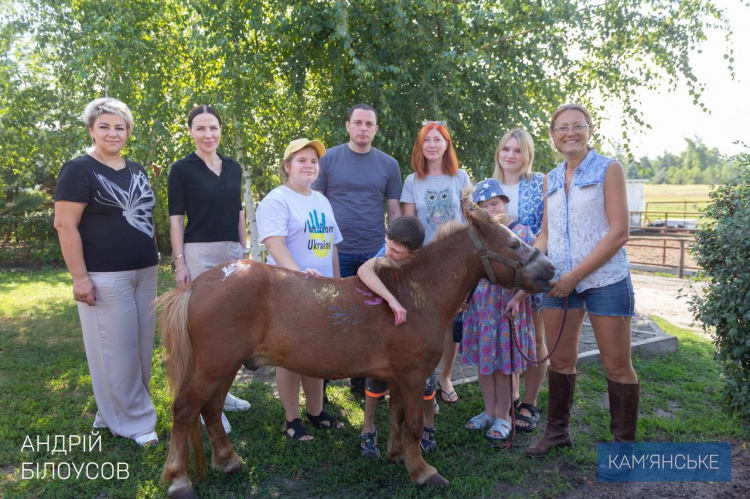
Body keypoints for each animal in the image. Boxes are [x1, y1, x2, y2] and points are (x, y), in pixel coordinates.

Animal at [160, 209, 560, 498]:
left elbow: (398, 416)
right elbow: (415, 423)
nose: (551, 269)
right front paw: (423, 472)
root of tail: (200, 283)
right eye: (513, 244)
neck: (412, 295)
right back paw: (179, 479)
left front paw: (398, 456)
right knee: (185, 409)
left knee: (211, 410)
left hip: (223, 368)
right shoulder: (414, 375)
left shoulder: (400, 377)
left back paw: (228, 460)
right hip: (214, 367)